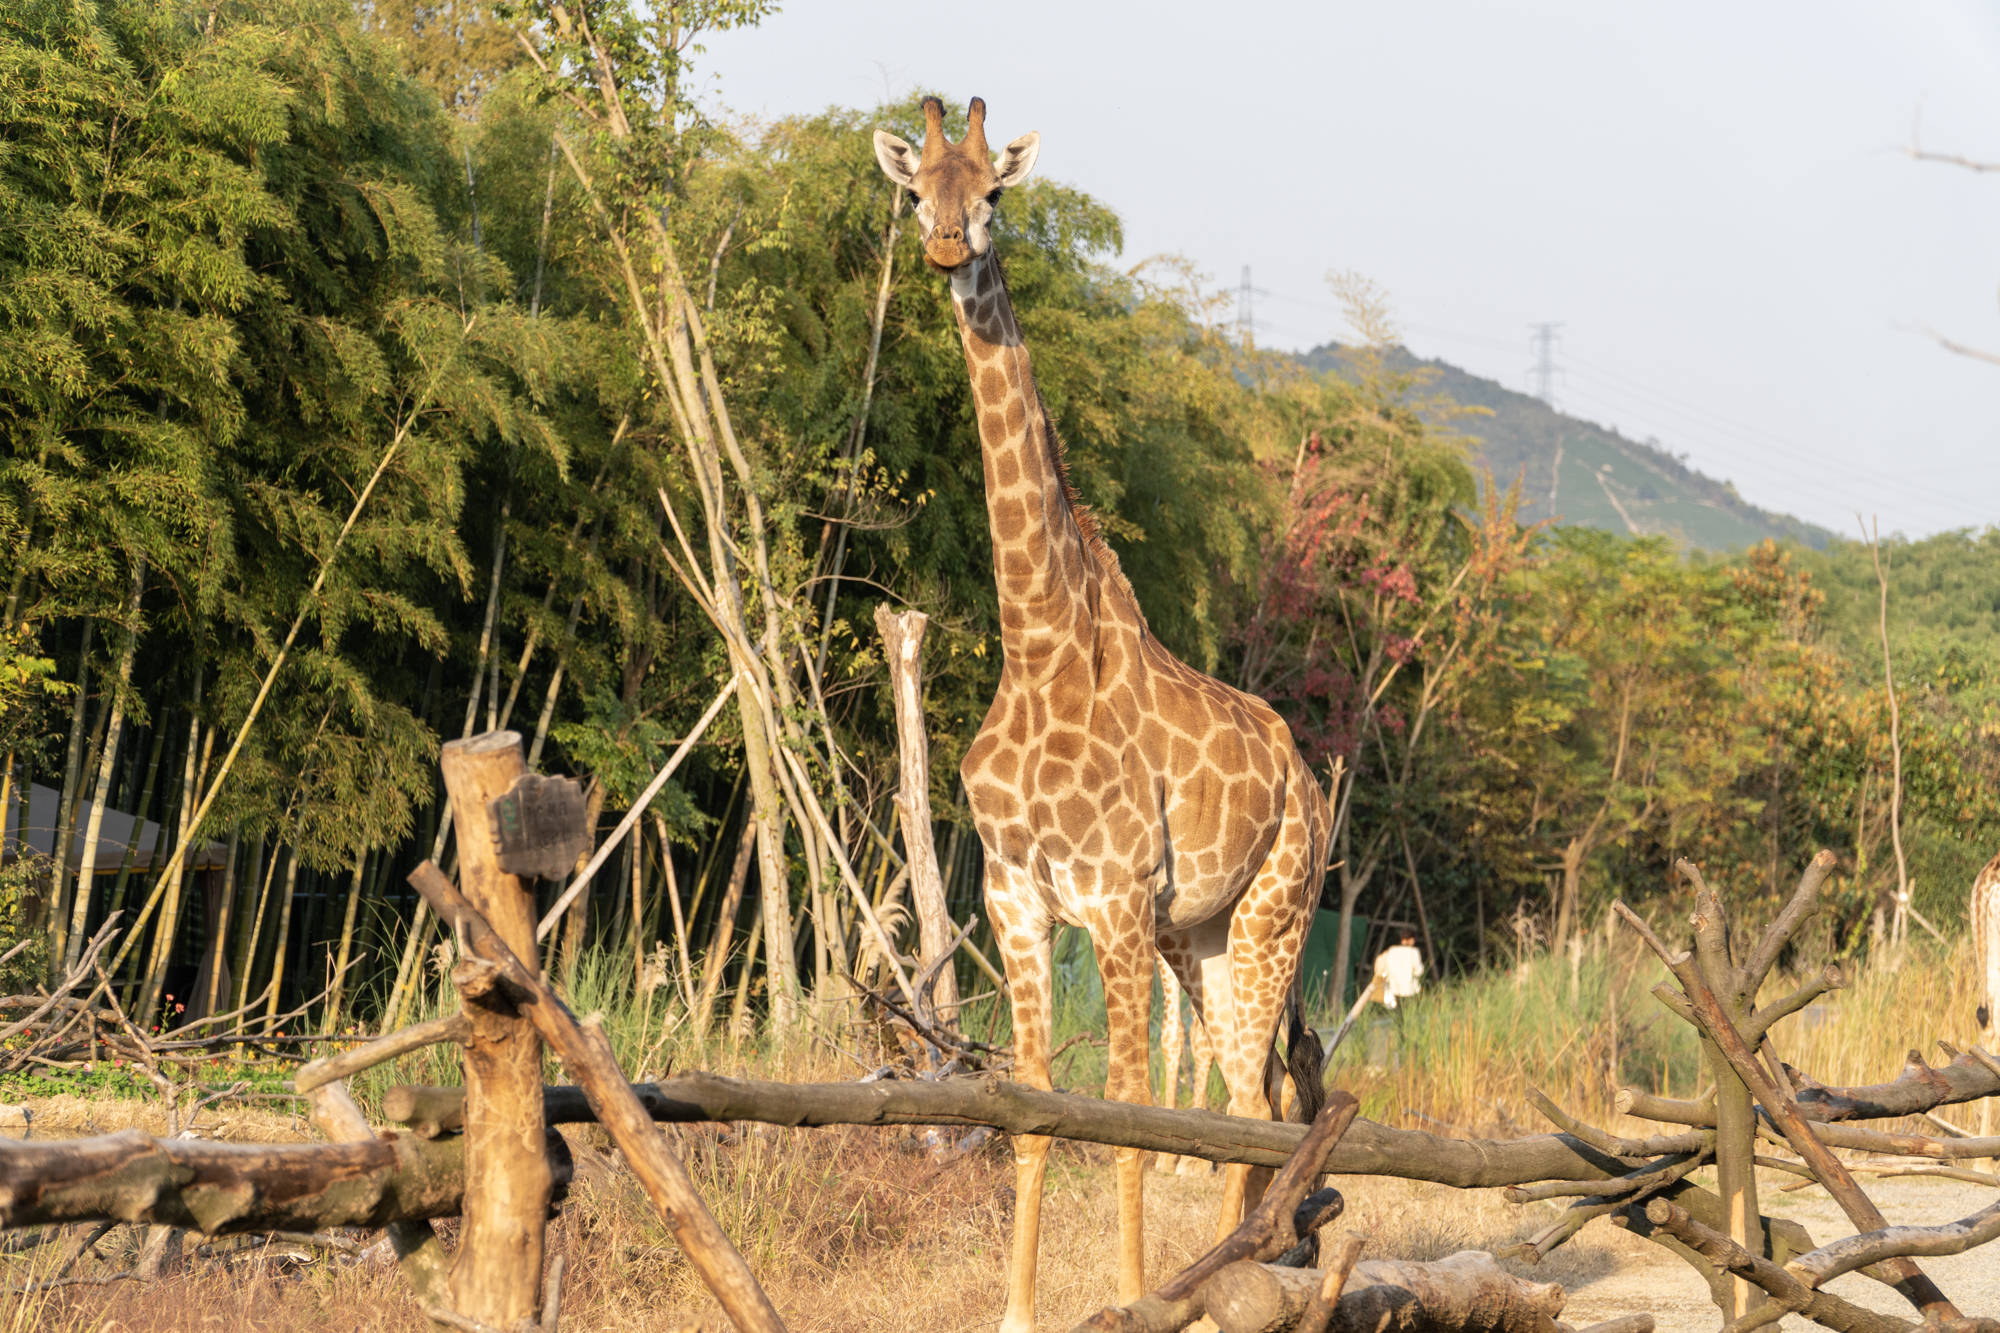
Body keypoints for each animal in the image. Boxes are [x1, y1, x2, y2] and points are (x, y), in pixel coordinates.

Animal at [872, 98, 1328, 1320]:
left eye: (992, 190)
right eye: (916, 190)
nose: (948, 244)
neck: (1037, 650)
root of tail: (1306, 777)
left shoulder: (1115, 900)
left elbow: (1122, 1109)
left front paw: (1125, 1300)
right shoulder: (1016, 903)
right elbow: (1035, 1110)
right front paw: (1017, 1308)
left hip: (1274, 913)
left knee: (1251, 1100)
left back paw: (1231, 1274)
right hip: (1199, 934)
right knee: (1248, 1095)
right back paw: (1231, 1262)